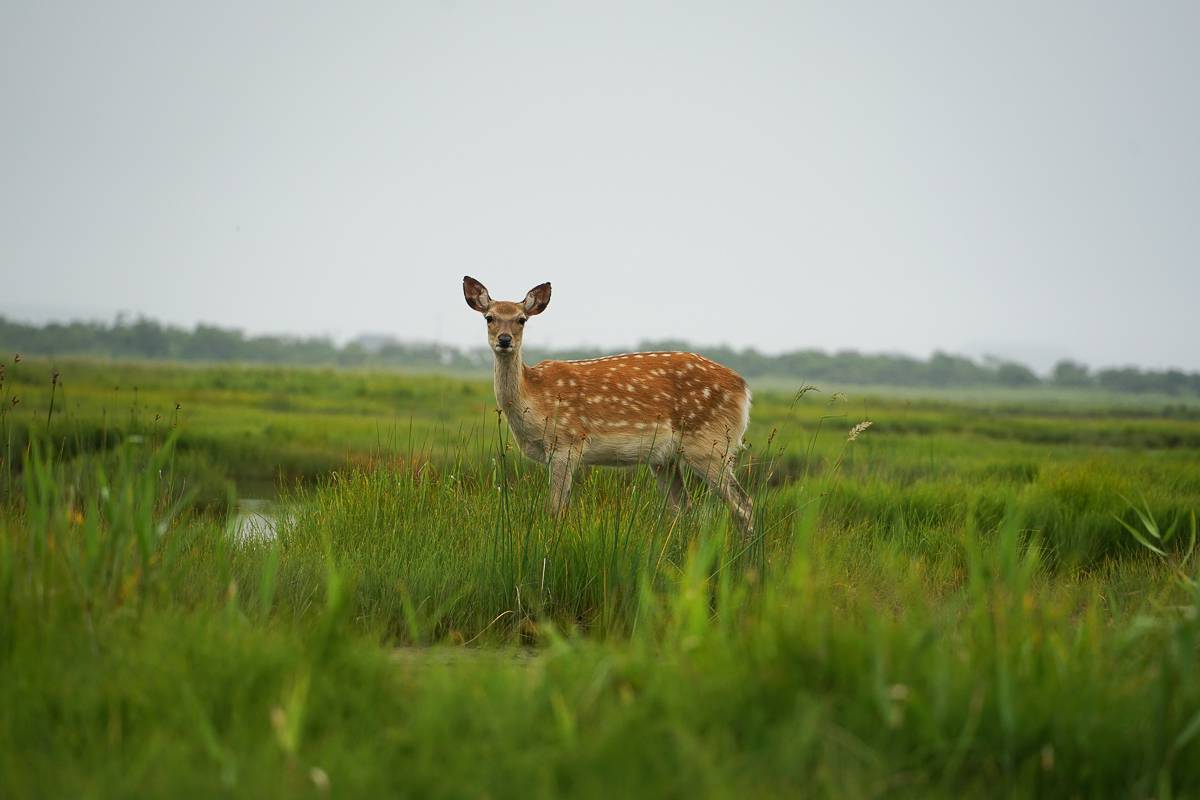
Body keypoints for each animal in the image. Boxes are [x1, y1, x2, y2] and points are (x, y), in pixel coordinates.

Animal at [463, 276, 755, 537]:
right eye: (489, 317)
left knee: (743, 504)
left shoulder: (567, 442)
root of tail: (743, 388)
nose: (504, 339)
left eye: (522, 319)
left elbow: (555, 509)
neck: (534, 399)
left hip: (710, 443)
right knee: (682, 507)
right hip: (667, 458)